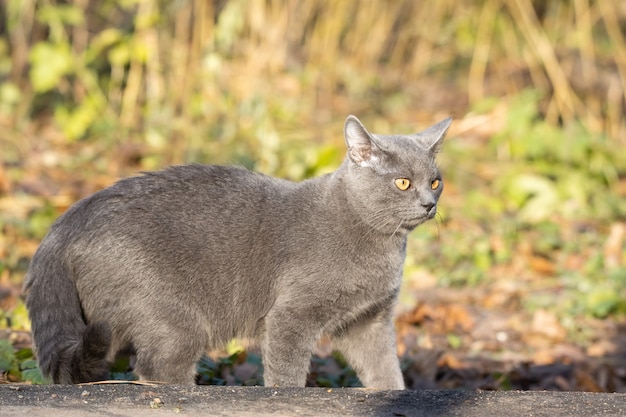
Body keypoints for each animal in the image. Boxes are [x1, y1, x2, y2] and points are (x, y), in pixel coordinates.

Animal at [20, 114, 448, 386]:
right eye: (403, 183)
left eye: (435, 181)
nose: (429, 203)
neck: (382, 246)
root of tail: (66, 222)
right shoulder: (292, 316)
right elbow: (286, 376)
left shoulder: (367, 321)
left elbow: (386, 373)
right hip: (170, 316)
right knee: (157, 370)